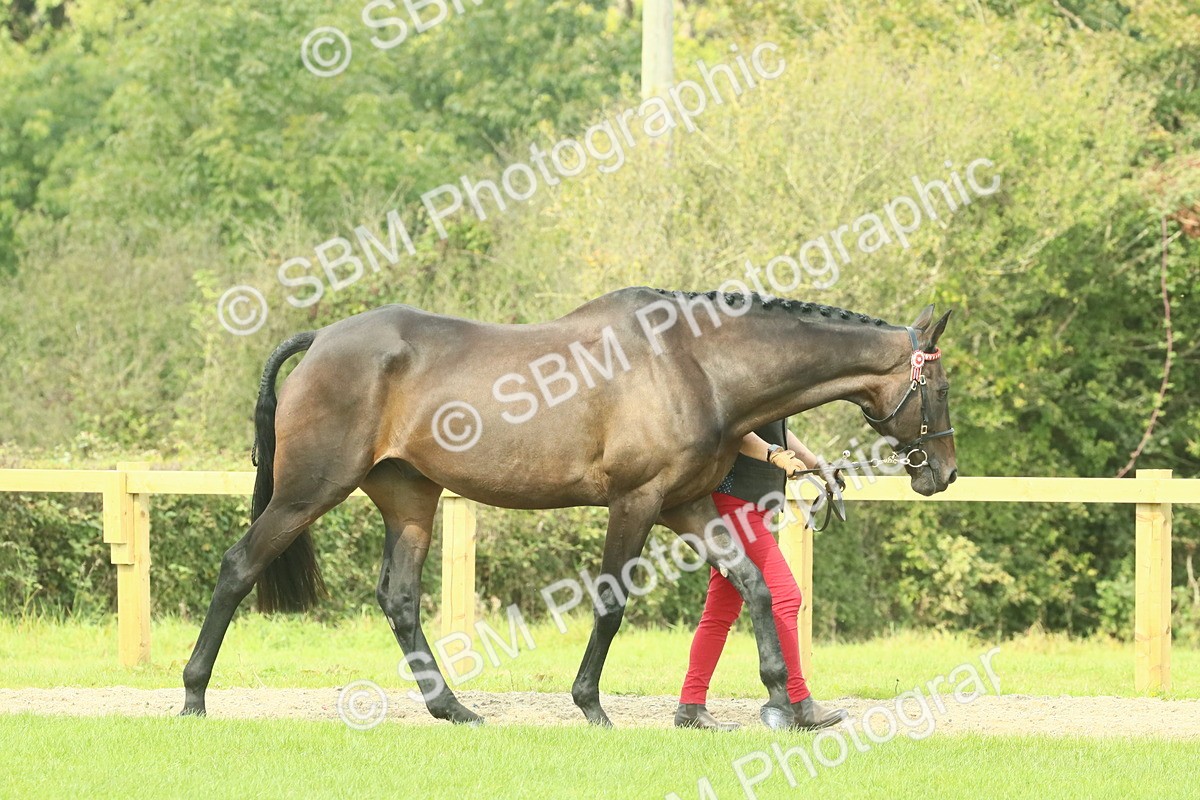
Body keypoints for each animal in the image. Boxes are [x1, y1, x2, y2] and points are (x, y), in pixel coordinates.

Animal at [181, 287, 956, 728]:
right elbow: (612, 604)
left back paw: (453, 708)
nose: (943, 473)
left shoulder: (686, 506)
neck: (694, 365)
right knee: (238, 566)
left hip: (410, 500)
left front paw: (783, 702)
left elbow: (755, 588)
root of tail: (320, 341)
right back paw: (193, 696)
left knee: (397, 599)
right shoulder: (635, 503)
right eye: (942, 388)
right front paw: (590, 704)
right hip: (307, 492)